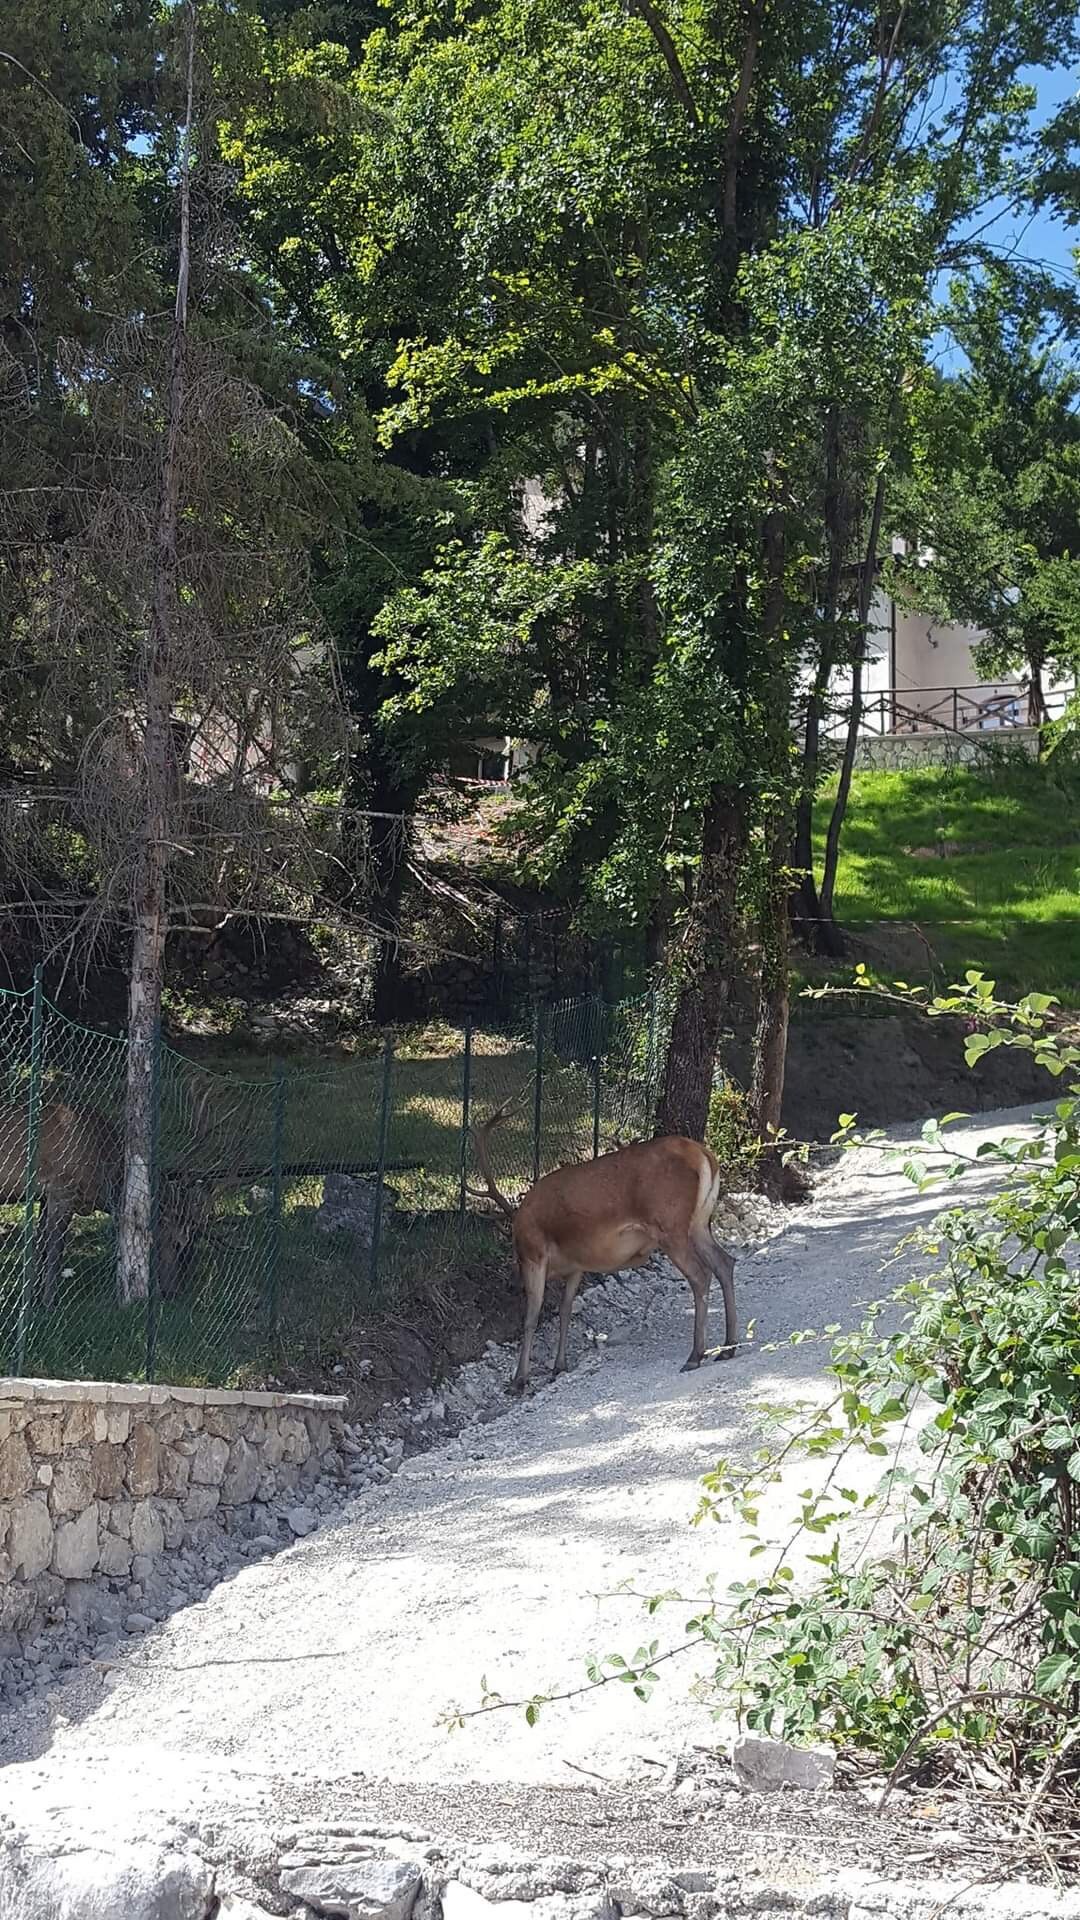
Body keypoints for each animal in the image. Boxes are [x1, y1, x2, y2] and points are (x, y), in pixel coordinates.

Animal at [468, 1098, 730, 1397]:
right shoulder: (577, 1267)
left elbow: (532, 1317)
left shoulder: (534, 1253)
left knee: (701, 1274)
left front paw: (518, 1380)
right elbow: (565, 1310)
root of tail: (705, 1156)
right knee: (725, 1263)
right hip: (699, 1223)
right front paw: (559, 1366)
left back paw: (695, 1355)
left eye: (516, 1258)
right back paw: (727, 1347)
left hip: (670, 1225)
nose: (511, 1283)